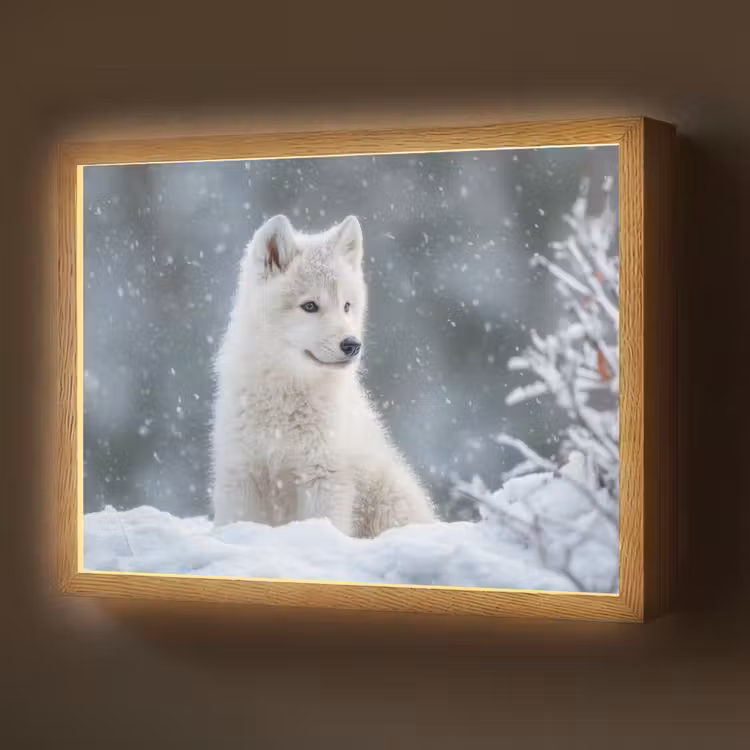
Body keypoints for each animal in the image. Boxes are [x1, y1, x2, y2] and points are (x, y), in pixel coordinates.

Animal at [210, 213, 437, 537]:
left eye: (346, 306)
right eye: (310, 306)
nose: (352, 345)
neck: (285, 401)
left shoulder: (324, 477)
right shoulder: (241, 474)